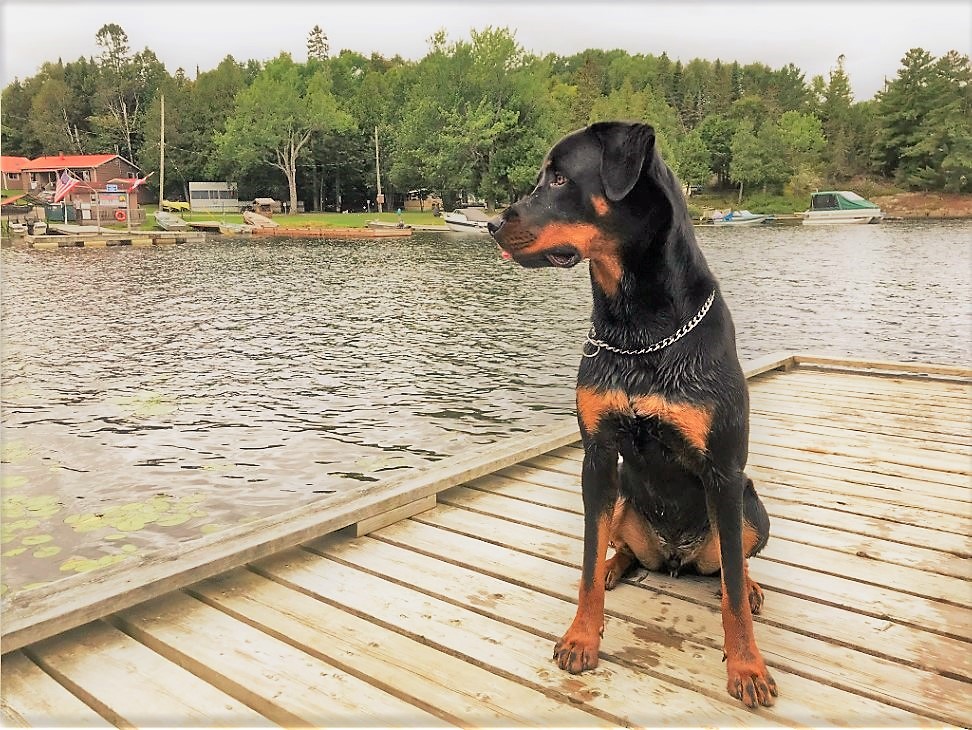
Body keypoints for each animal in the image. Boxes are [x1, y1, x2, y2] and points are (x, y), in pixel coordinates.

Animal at [488, 121, 777, 708]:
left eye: (559, 177)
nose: (490, 224)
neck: (638, 327)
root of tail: (675, 559)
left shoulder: (723, 471)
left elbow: (733, 593)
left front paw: (747, 667)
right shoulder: (598, 457)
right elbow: (585, 560)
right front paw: (582, 636)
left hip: (749, 505)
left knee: (733, 566)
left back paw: (751, 585)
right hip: (623, 493)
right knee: (621, 550)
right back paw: (615, 568)